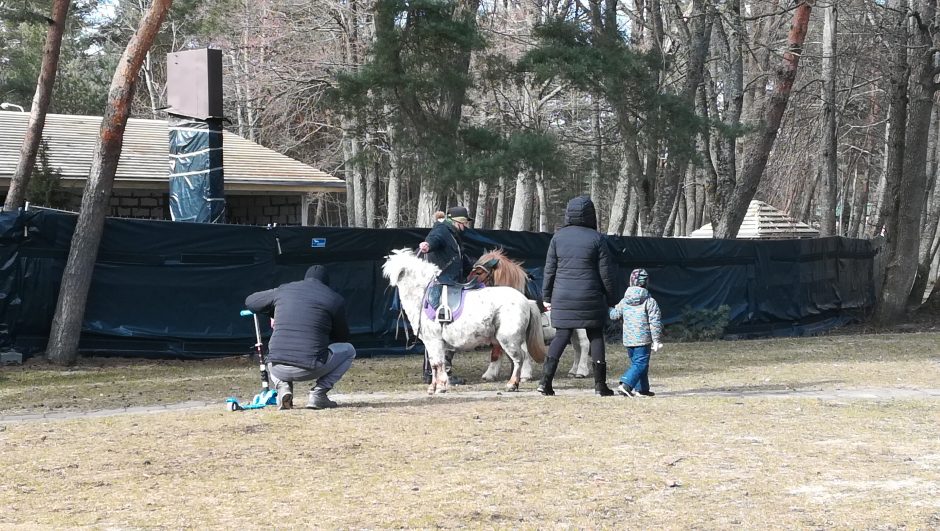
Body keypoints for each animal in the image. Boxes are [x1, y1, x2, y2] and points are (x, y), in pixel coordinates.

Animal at [380, 249, 544, 394]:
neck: (424, 296)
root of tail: (526, 301)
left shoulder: (434, 341)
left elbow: (438, 364)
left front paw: (440, 387)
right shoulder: (432, 343)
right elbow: (435, 365)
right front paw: (433, 387)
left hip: (508, 339)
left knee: (519, 359)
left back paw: (512, 384)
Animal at [470, 250, 596, 382]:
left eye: (478, 272)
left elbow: (523, 353)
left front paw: (524, 375)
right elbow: (497, 351)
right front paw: (491, 374)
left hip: (580, 328)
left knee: (584, 345)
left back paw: (581, 371)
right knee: (577, 348)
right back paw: (573, 371)